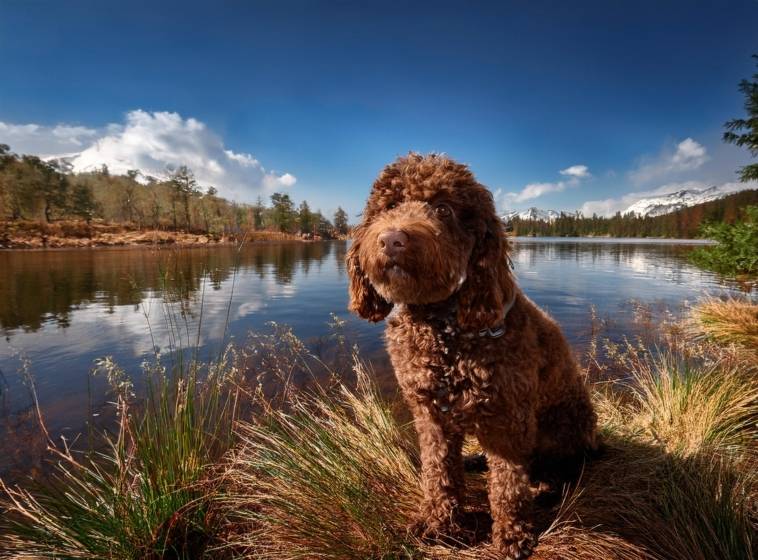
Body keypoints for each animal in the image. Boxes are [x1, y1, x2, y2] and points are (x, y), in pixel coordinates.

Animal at [348, 152, 600, 556]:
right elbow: (438, 474)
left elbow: (508, 486)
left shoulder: (509, 420)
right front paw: (440, 524)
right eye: (388, 206)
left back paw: (545, 485)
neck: (444, 330)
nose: (391, 239)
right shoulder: (430, 415)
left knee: (565, 467)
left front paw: (513, 535)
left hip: (565, 427)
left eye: (444, 208)